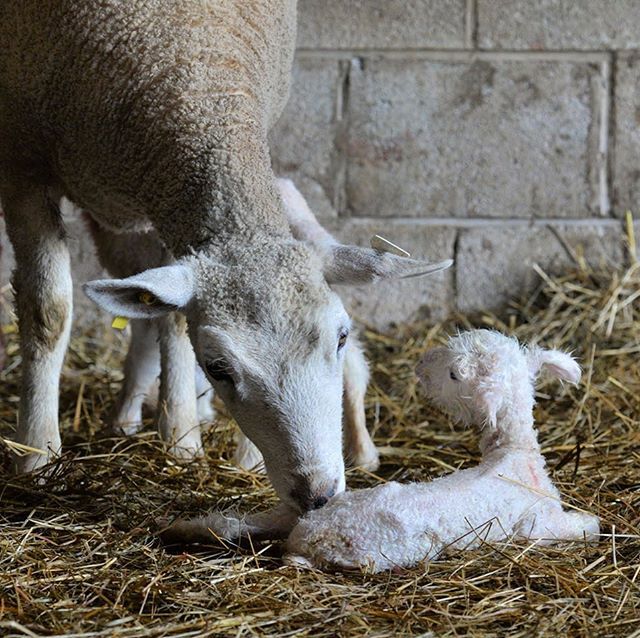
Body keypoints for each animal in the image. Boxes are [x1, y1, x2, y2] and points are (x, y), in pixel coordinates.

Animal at [0, 1, 449, 511]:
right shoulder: (22, 159)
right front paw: (36, 454)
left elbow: (173, 319)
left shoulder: (166, 199)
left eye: (340, 336)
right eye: (218, 367)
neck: (197, 82)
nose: (317, 494)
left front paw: (181, 441)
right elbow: (48, 312)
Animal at [161, 330, 599, 572]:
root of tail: (308, 534)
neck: (512, 453)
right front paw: (592, 523)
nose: (420, 366)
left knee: (237, 523)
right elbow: (585, 527)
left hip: (297, 511)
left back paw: (180, 529)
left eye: (454, 374)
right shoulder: (535, 524)